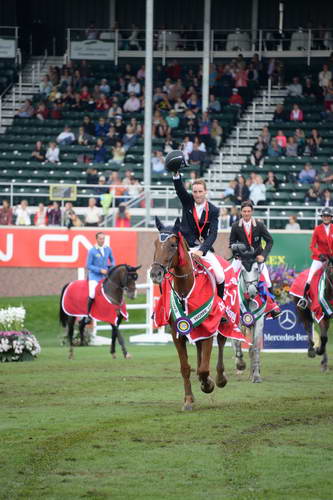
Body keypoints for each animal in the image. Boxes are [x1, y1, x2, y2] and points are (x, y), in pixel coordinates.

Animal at [149, 218, 227, 410]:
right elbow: (185, 367)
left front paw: (208, 384)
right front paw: (189, 400)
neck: (185, 288)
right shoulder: (177, 333)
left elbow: (205, 367)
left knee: (222, 342)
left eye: (172, 245)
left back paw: (220, 378)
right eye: (155, 244)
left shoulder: (209, 328)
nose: (155, 274)